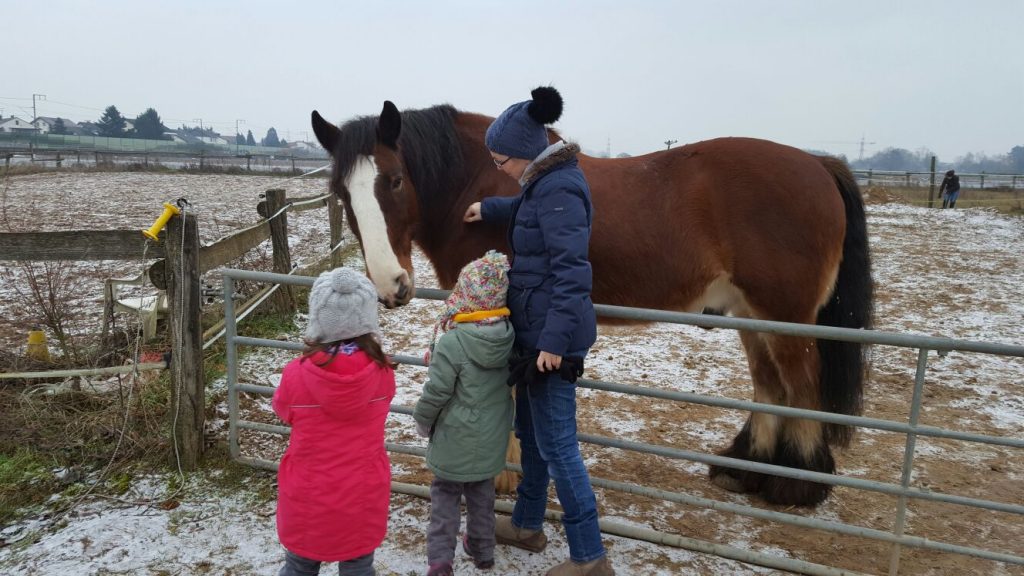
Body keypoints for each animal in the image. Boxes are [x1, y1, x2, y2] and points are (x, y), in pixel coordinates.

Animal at [309, 100, 872, 504]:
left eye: (395, 179)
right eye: (342, 192)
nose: (391, 285)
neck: (479, 180)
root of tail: (819, 164)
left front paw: (503, 475)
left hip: (788, 319)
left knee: (801, 388)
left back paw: (797, 484)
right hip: (751, 315)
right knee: (768, 385)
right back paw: (745, 468)